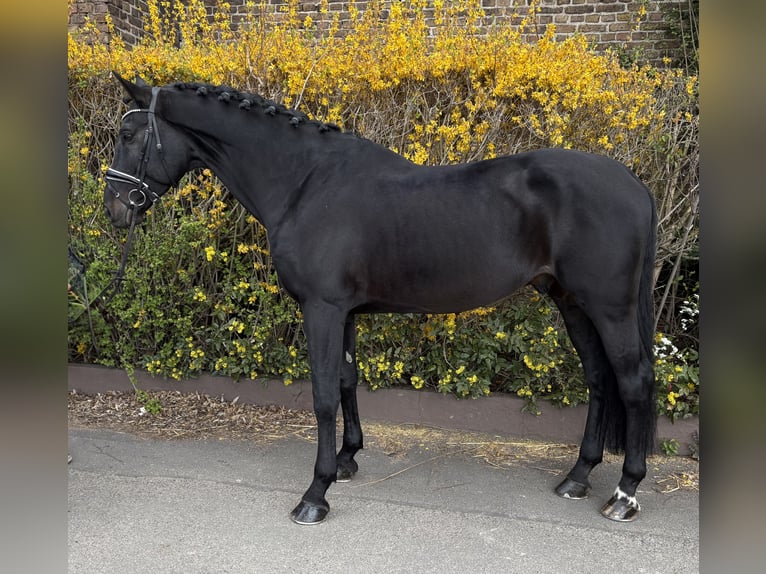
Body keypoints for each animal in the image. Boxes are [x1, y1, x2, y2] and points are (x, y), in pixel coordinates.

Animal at [104, 73, 657, 525]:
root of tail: (635, 184)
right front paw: (348, 459)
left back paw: (625, 493)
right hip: (572, 303)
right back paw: (578, 477)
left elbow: (323, 394)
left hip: (610, 307)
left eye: (129, 135)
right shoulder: (343, 311)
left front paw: (316, 493)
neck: (306, 182)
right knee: (598, 379)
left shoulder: (322, 309)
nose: (114, 208)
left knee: (633, 383)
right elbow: (347, 381)